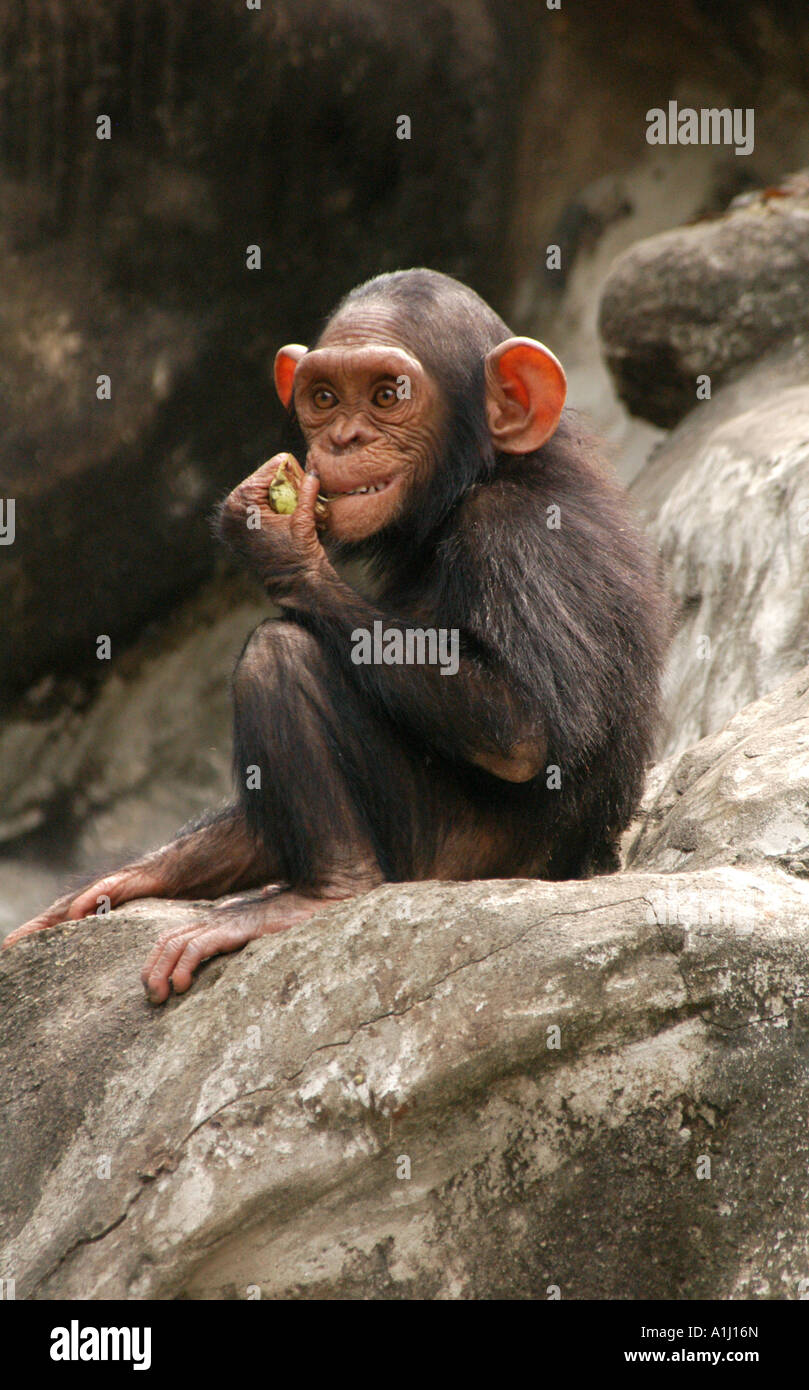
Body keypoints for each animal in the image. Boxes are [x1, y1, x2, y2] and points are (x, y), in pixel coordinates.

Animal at [4, 268, 672, 1000]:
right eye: (323, 398)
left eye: (386, 395)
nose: (344, 438)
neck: (477, 480)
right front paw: (126, 878)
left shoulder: (518, 536)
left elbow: (522, 730)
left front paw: (280, 543)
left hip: (452, 853)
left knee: (279, 653)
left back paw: (323, 894)